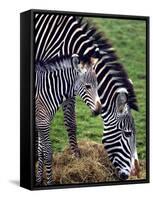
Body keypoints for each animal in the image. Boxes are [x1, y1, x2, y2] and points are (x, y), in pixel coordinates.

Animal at [34, 55, 101, 186]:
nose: (99, 110)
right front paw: (49, 182)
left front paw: (38, 180)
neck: (48, 90)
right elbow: (47, 153)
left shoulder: (41, 122)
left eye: (97, 85)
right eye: (87, 86)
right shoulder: (42, 122)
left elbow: (40, 151)